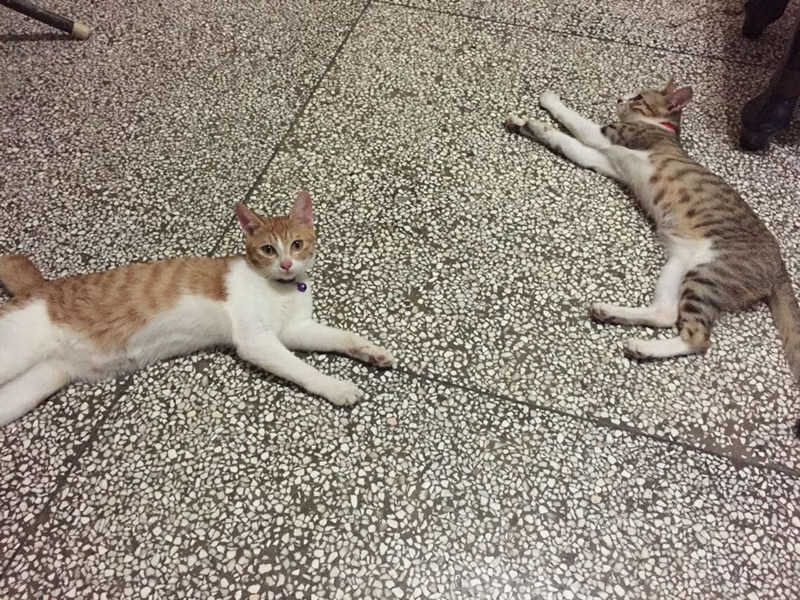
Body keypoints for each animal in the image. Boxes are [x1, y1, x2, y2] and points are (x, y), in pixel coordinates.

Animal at [0, 190, 394, 426]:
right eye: (268, 249)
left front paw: (371, 351)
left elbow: (341, 336)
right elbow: (302, 369)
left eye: (297, 245)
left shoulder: (295, 330)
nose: (285, 264)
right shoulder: (258, 341)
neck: (281, 289)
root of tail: (39, 288)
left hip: (32, 385)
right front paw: (335, 387)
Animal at [505, 79, 800, 386]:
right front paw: (528, 125)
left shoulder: (608, 136)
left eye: (638, 97)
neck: (661, 127)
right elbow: (566, 142)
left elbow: (573, 121)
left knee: (698, 339)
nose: (619, 98)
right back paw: (611, 314)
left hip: (709, 273)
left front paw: (547, 104)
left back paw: (642, 347)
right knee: (666, 314)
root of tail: (780, 265)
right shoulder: (602, 159)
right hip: (679, 265)